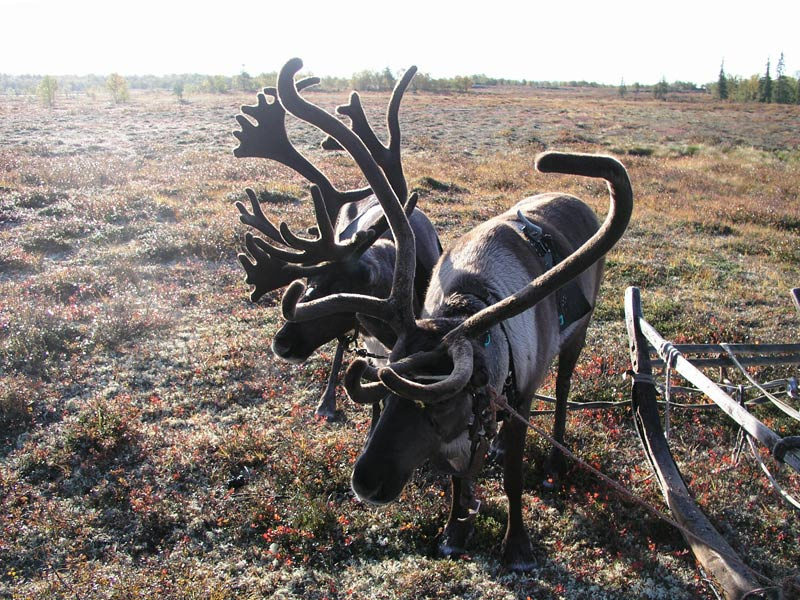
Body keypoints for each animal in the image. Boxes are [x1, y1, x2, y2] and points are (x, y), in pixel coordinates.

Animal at [271, 58, 633, 570]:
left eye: (437, 403)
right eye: (387, 390)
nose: (365, 482)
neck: (467, 307)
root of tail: (575, 197)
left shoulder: (519, 397)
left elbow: (512, 477)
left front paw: (516, 545)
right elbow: (460, 477)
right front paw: (455, 531)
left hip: (576, 338)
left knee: (562, 391)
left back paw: (553, 462)